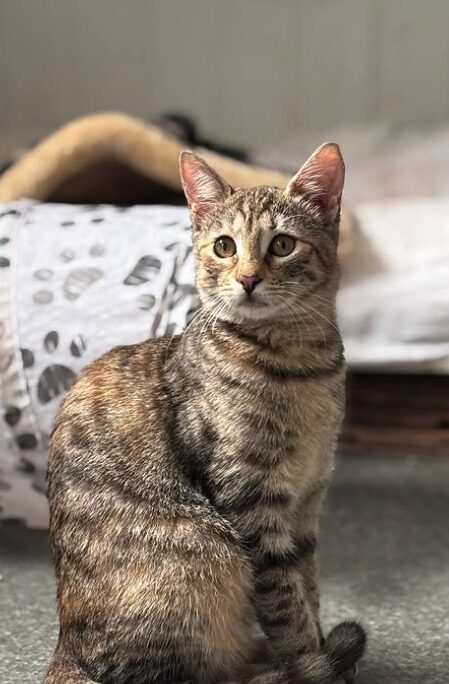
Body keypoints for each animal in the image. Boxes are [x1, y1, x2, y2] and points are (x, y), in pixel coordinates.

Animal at [44, 142, 364, 680]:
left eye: (282, 245)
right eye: (224, 247)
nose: (249, 278)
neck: (301, 365)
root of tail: (67, 648)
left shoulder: (307, 501)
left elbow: (308, 587)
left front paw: (320, 647)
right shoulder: (250, 501)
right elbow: (285, 602)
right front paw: (309, 659)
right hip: (204, 549)